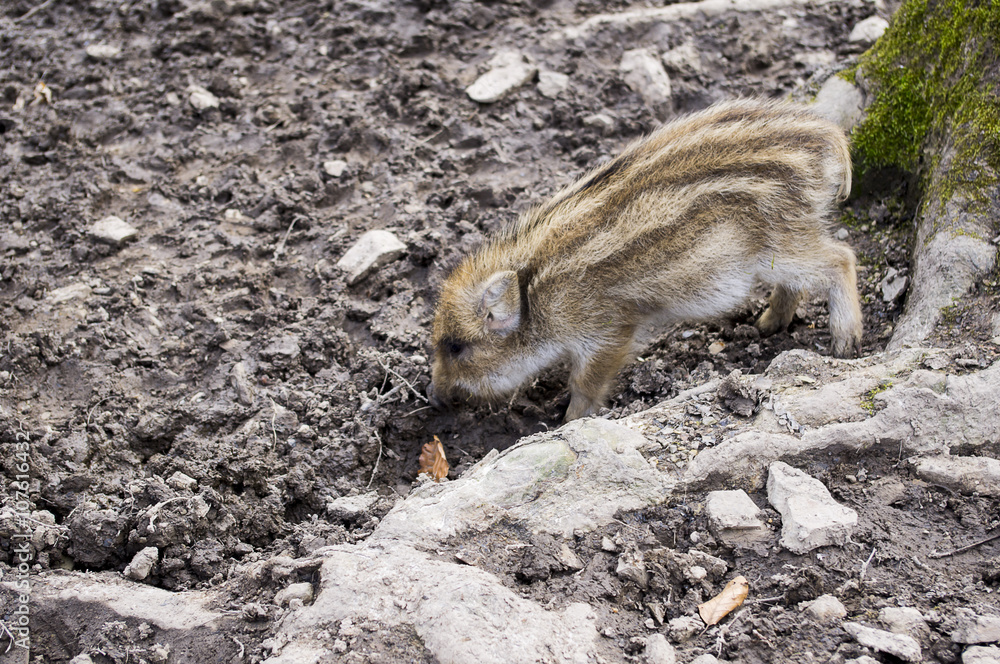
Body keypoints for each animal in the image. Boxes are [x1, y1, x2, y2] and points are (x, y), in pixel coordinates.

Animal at [430, 98, 862, 421]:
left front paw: (569, 420)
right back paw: (766, 326)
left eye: (456, 347)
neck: (536, 292)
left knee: (840, 257)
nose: (435, 398)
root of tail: (827, 136)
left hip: (781, 241)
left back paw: (845, 343)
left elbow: (585, 383)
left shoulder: (607, 329)